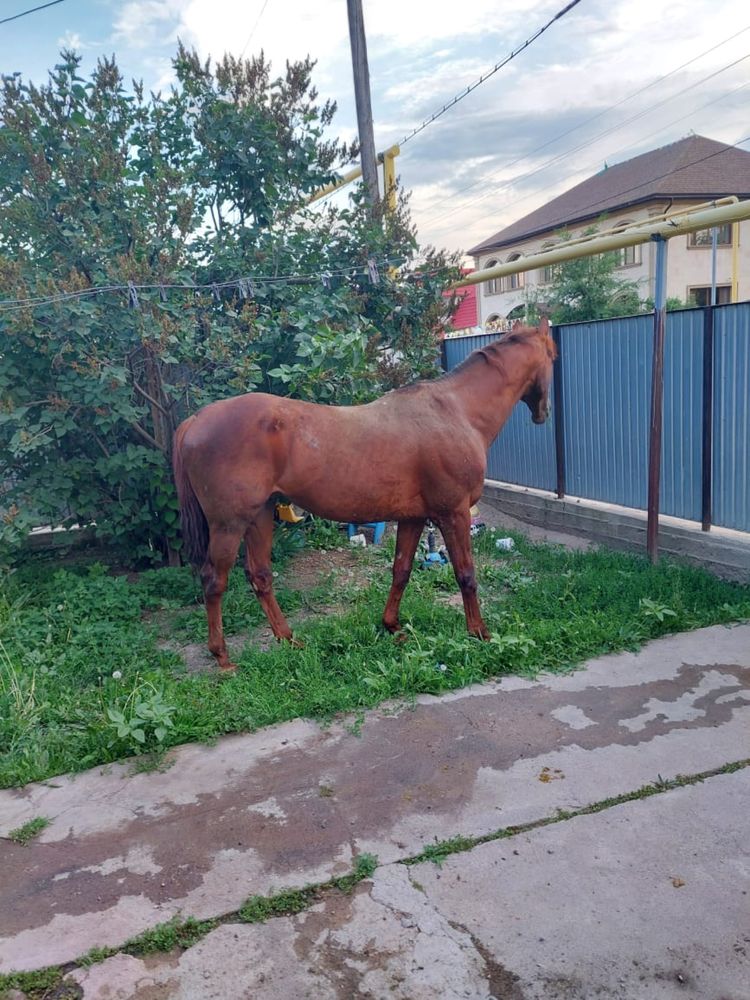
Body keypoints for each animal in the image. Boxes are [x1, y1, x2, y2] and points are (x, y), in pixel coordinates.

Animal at [173, 320, 556, 672]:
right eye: (552, 356)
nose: (544, 413)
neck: (455, 411)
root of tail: (195, 420)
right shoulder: (454, 513)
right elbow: (466, 574)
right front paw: (479, 633)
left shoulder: (413, 517)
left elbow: (401, 569)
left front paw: (392, 626)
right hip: (229, 524)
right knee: (214, 581)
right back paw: (223, 657)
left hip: (260, 516)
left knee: (260, 576)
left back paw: (289, 639)